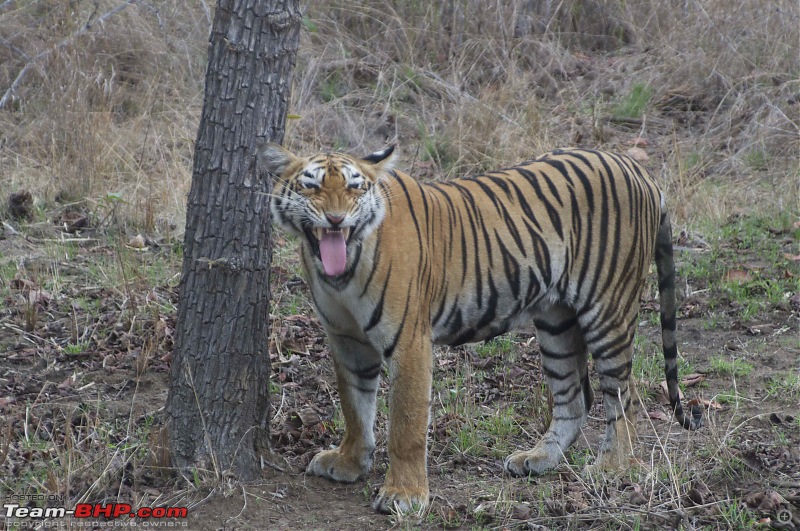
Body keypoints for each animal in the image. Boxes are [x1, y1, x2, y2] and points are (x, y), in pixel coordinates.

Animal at [258, 142, 700, 516]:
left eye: (354, 187)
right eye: (311, 186)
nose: (336, 219)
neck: (340, 273)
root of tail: (637, 168)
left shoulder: (409, 341)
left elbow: (406, 423)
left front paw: (404, 495)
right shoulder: (346, 340)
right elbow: (354, 405)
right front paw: (349, 461)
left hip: (607, 308)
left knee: (623, 396)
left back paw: (612, 467)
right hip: (556, 322)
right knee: (574, 399)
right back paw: (537, 459)